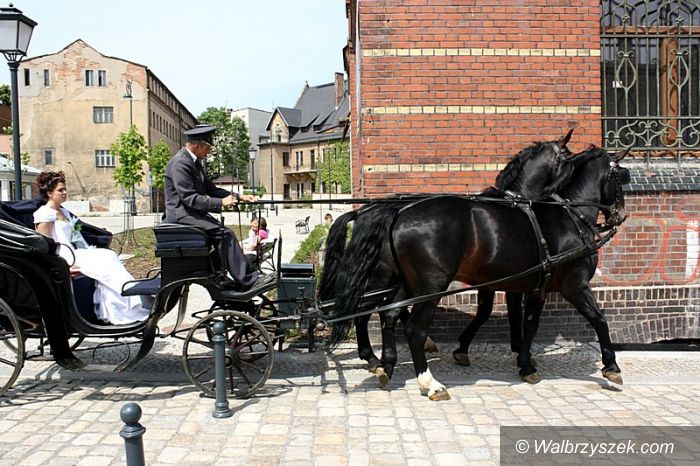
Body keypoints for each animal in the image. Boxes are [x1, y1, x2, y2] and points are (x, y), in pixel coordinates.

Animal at [326, 146, 629, 400]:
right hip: (427, 286)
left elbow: (521, 322)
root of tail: (394, 213)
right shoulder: (573, 285)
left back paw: (384, 365)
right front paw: (611, 365)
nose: (621, 214)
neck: (566, 216)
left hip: (406, 283)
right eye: (621, 177)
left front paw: (522, 360)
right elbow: (598, 320)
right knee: (407, 327)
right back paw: (426, 381)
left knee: (387, 313)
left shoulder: (526, 286)